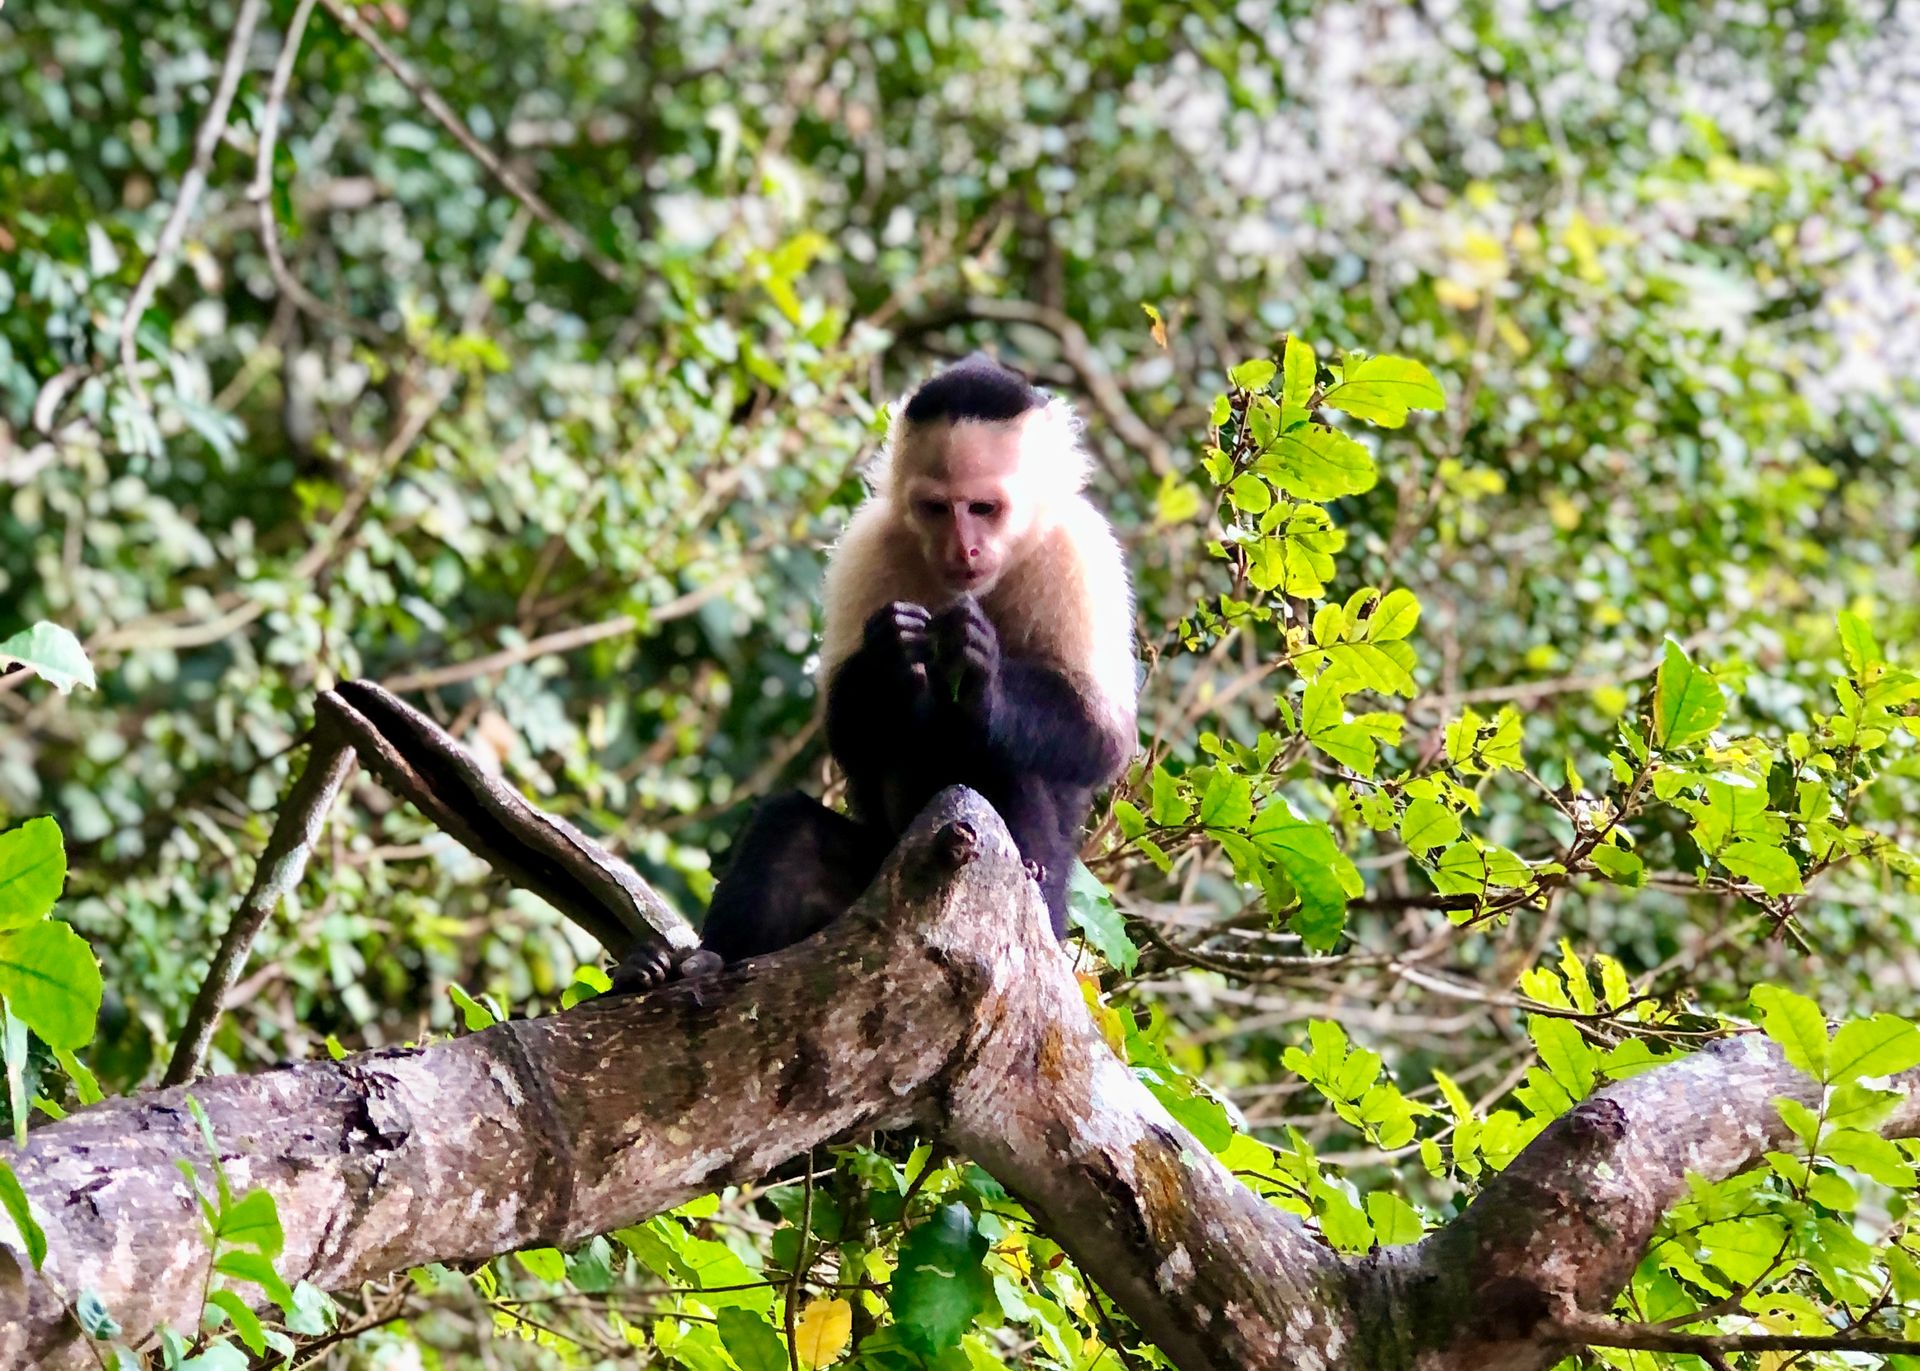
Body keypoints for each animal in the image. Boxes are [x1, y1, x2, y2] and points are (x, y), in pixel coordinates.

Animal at [619, 351, 1137, 980]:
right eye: (937, 509)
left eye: (983, 509)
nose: (963, 548)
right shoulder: (869, 544)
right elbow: (849, 730)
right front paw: (891, 655)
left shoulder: (1080, 552)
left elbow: (1103, 738)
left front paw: (983, 676)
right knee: (790, 830)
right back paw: (690, 964)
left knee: (1004, 755)